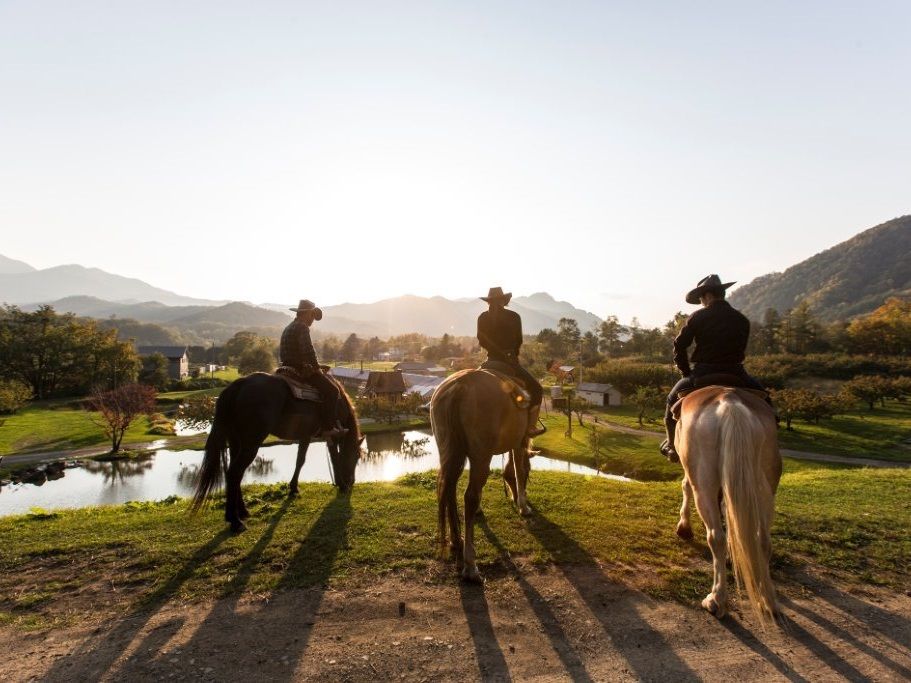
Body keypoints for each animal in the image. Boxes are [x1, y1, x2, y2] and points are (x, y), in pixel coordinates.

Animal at [192, 372, 363, 532]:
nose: (352, 481)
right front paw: (342, 485)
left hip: (236, 442)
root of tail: (240, 384)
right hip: (251, 443)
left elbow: (300, 460)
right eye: (356, 457)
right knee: (234, 472)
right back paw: (235, 521)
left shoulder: (305, 435)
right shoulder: (332, 435)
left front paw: (293, 488)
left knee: (234, 473)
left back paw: (242, 511)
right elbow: (334, 458)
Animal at [432, 368, 535, 582]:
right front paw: (523, 505)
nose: (514, 498)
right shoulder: (519, 442)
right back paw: (470, 566)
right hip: (481, 455)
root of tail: (461, 385)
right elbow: (519, 470)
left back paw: (456, 540)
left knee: (450, 490)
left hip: (449, 450)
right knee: (469, 496)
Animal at [673, 385, 781, 623]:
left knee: (716, 537)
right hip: (764, 487)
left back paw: (716, 599)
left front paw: (684, 527)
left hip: (704, 482)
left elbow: (685, 485)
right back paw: (767, 600)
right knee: (762, 540)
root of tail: (729, 400)